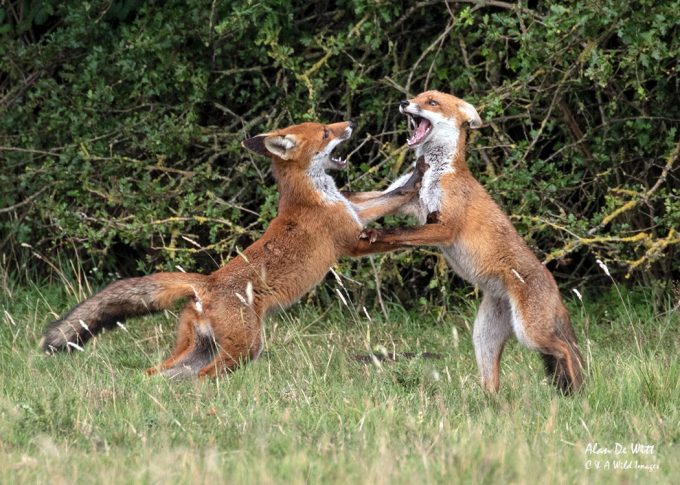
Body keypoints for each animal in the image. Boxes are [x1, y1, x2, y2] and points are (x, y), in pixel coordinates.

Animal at [40, 120, 425, 378]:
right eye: (326, 133)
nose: (350, 124)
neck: (314, 195)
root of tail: (206, 284)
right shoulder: (352, 239)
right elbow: (391, 226)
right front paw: (419, 189)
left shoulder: (354, 210)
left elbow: (387, 197)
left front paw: (416, 175)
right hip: (243, 349)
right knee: (202, 378)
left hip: (198, 350)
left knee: (158, 374)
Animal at [349, 91, 584, 394]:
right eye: (417, 96)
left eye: (432, 102)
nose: (403, 103)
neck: (438, 172)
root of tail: (554, 286)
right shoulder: (401, 198)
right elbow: (361, 201)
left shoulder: (444, 227)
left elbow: (402, 232)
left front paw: (378, 234)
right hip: (484, 337)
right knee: (492, 382)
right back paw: (490, 402)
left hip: (530, 334)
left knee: (565, 350)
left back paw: (574, 393)